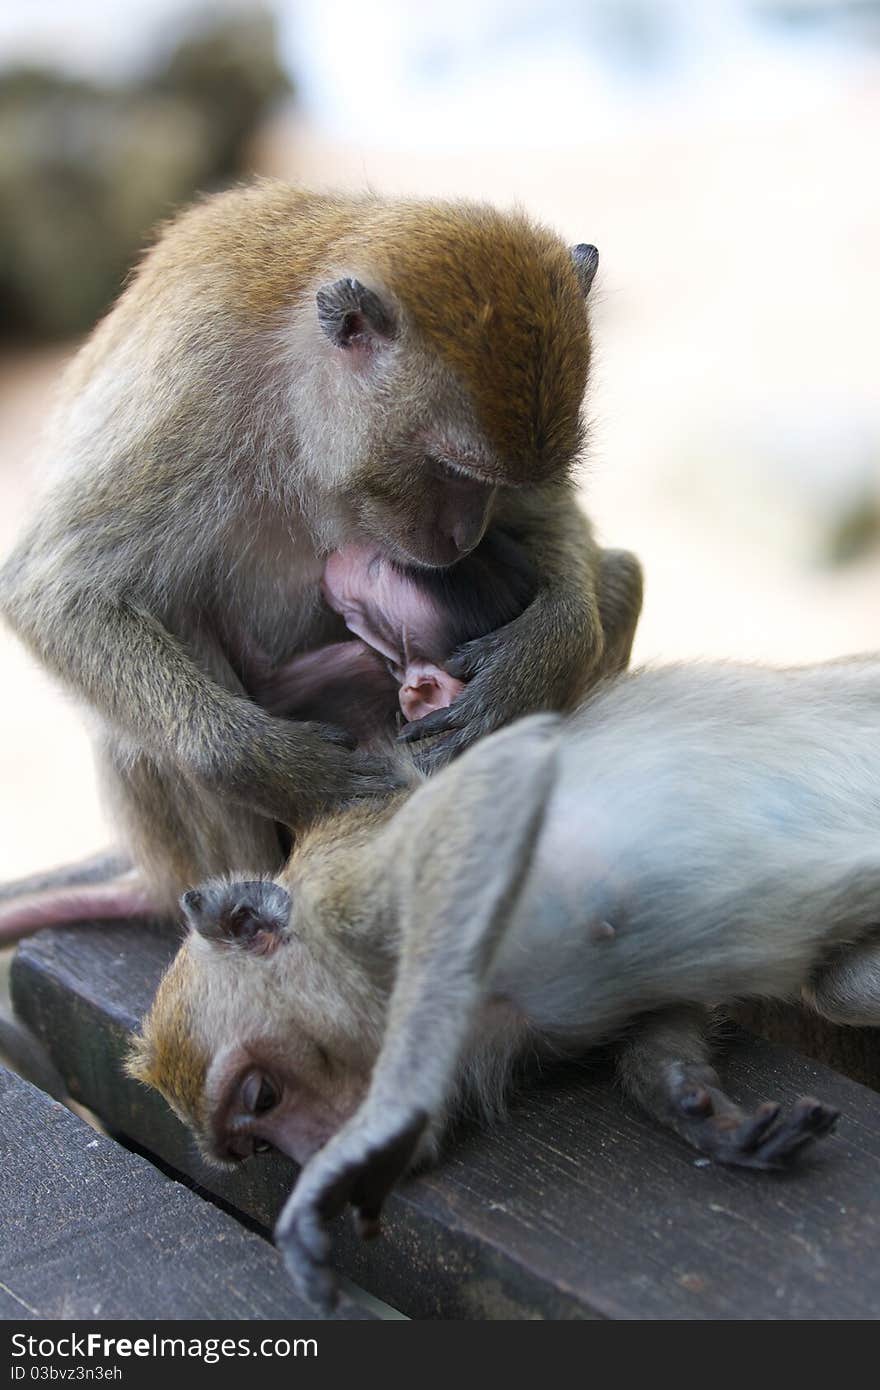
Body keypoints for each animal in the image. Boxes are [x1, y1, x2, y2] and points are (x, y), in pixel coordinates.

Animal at [1, 182, 617, 911]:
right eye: (452, 471)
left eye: (495, 483)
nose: (465, 538)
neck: (297, 394)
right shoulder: (192, 394)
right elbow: (55, 590)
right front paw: (292, 771)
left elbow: (549, 520)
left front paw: (539, 659)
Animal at [127, 650, 878, 1301]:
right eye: (255, 1145)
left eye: (262, 1098)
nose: (310, 1152)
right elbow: (667, 1015)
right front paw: (692, 1104)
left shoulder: (362, 883)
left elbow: (488, 799)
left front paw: (371, 1135)